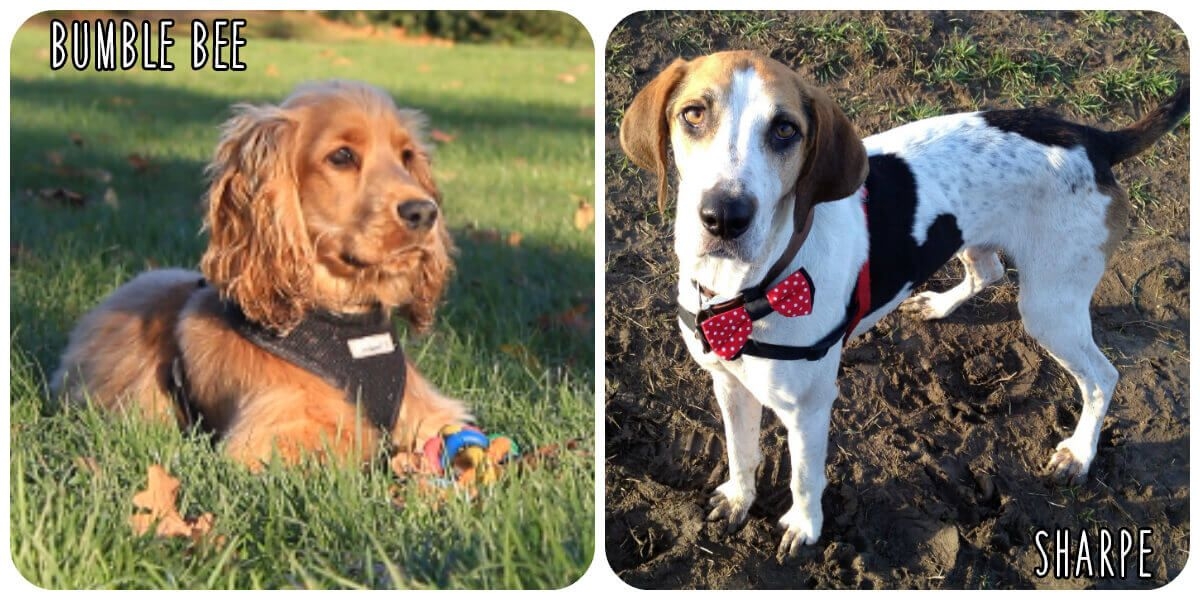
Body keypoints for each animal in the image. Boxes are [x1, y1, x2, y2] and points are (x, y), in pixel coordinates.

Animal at [624, 51, 1185, 556]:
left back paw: (1080, 453)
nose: (724, 216)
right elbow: (741, 452)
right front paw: (740, 499)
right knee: (988, 272)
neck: (742, 290)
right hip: (972, 240)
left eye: (785, 129)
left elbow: (805, 477)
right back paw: (939, 305)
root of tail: (1092, 139)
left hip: (1051, 308)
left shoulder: (808, 409)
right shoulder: (728, 382)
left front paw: (804, 528)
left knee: (1103, 377)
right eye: (693, 113)